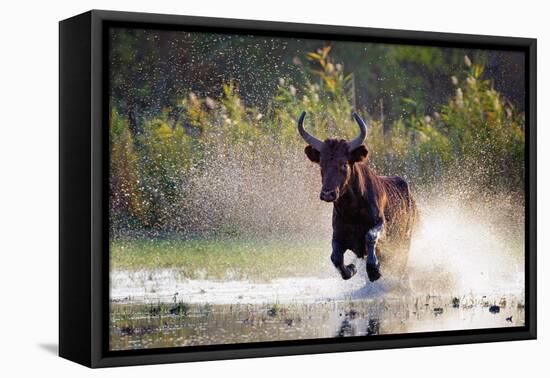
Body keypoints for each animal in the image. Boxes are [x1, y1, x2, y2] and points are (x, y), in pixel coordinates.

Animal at [300, 110, 416, 282]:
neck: (353, 211)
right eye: (322, 164)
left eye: (344, 164)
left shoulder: (381, 226)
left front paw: (374, 269)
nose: (327, 194)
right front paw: (351, 269)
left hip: (405, 242)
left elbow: (371, 237)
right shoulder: (338, 235)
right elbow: (335, 257)